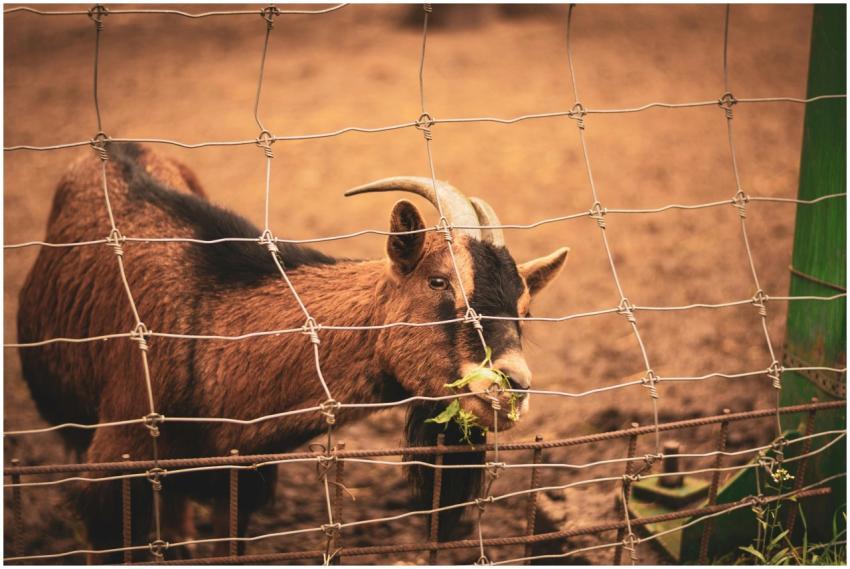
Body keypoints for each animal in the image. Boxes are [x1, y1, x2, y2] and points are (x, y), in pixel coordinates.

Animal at [17, 143, 569, 560]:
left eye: (525, 308)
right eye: (438, 281)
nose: (513, 387)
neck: (210, 332)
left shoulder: (241, 481)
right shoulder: (109, 479)